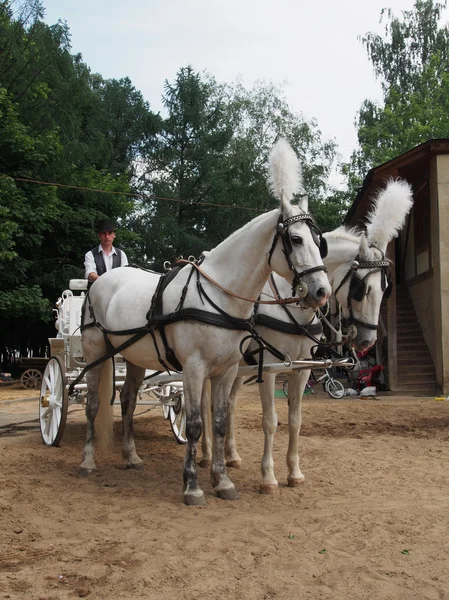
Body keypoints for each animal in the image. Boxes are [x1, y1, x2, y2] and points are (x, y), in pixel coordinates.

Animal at [77, 138, 330, 504]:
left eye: (319, 241)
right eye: (295, 239)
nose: (321, 291)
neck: (219, 293)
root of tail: (101, 281)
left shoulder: (226, 369)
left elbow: (221, 420)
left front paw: (222, 481)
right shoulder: (195, 368)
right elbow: (196, 423)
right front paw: (193, 485)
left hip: (134, 356)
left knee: (127, 401)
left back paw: (132, 456)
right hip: (97, 352)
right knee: (94, 403)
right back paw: (87, 461)